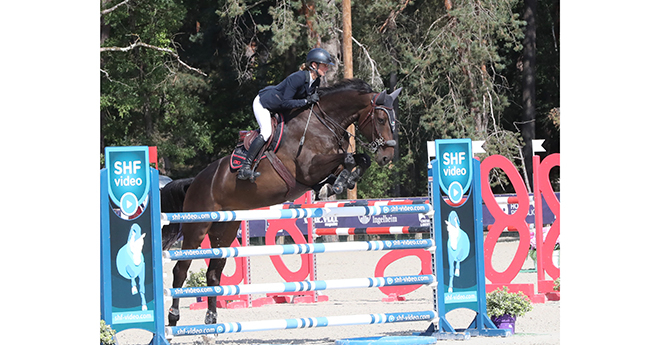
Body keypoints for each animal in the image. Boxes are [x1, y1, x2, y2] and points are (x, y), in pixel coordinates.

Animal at [162, 78, 404, 326]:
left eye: (394, 120)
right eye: (381, 119)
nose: (386, 156)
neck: (324, 123)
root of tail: (194, 181)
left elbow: (358, 159)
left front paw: (343, 181)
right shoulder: (308, 169)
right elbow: (348, 158)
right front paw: (341, 182)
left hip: (225, 229)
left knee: (213, 273)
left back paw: (211, 318)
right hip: (197, 227)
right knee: (181, 269)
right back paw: (173, 317)